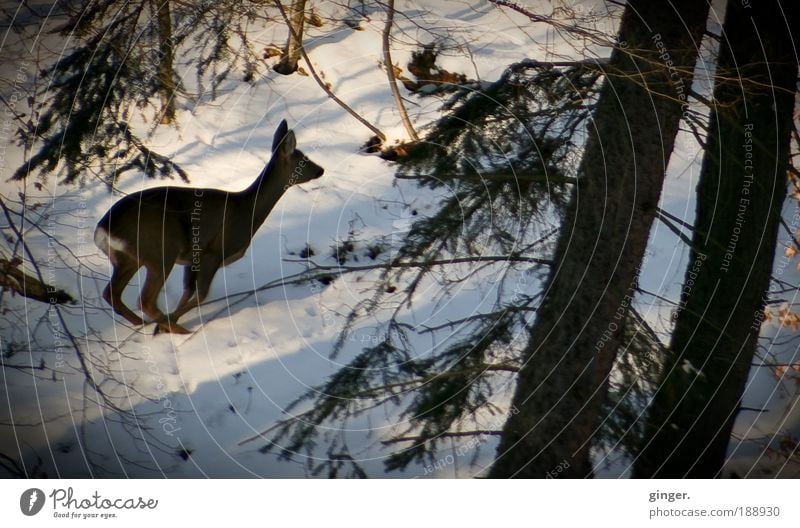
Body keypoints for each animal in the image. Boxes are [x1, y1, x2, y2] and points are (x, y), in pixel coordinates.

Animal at [91, 120, 322, 334]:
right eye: (304, 159)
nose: (321, 169)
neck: (248, 211)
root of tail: (103, 230)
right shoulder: (212, 252)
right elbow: (201, 295)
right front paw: (168, 326)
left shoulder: (192, 258)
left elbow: (187, 292)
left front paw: (166, 324)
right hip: (159, 251)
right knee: (145, 300)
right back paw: (179, 331)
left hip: (127, 258)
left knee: (112, 294)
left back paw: (147, 326)